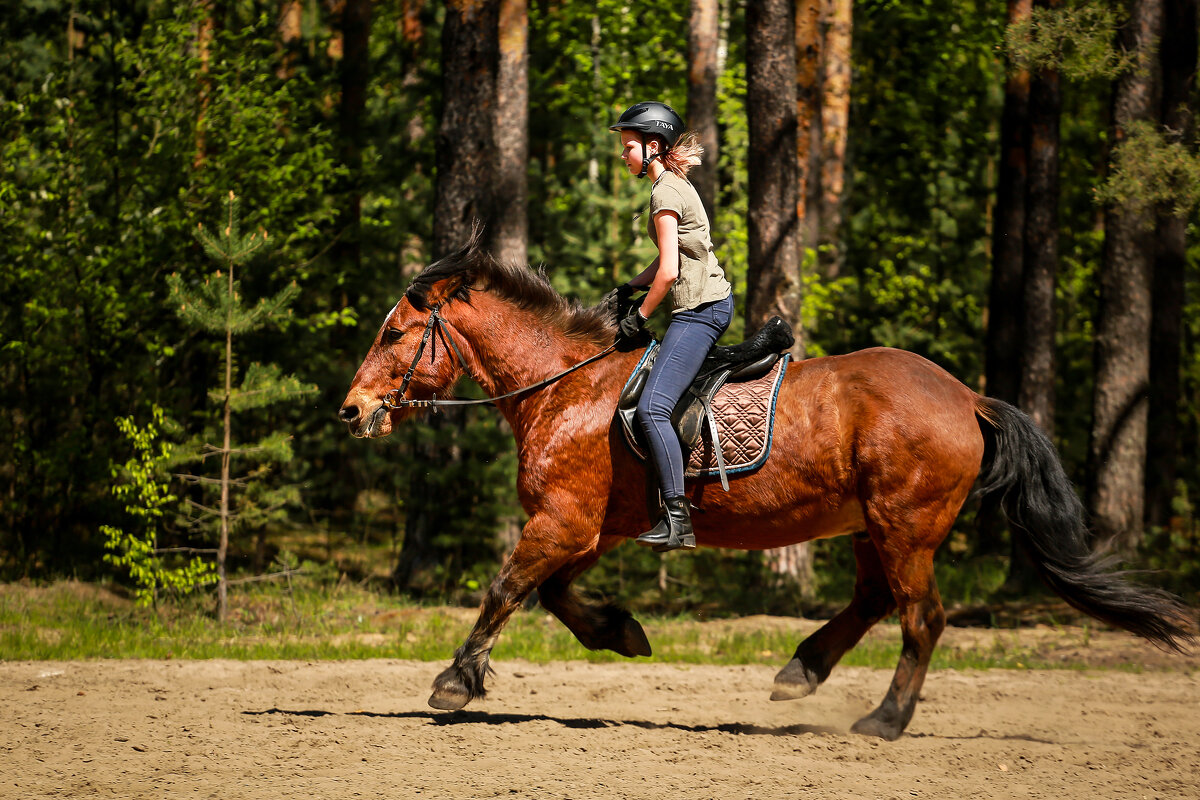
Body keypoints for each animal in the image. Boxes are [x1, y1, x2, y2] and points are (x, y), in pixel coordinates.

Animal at [338, 236, 1190, 738]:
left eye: (393, 333)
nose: (352, 410)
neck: (565, 387)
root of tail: (966, 396)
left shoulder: (561, 522)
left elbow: (505, 589)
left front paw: (455, 681)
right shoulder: (592, 528)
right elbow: (550, 594)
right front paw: (622, 632)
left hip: (905, 523)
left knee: (922, 617)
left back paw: (884, 719)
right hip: (868, 525)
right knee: (874, 601)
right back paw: (801, 672)